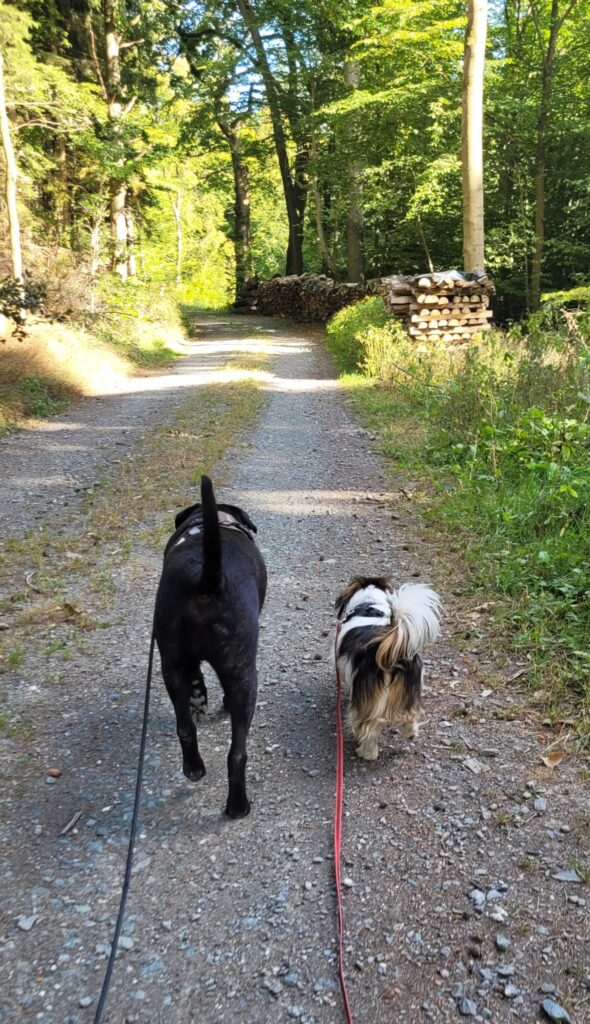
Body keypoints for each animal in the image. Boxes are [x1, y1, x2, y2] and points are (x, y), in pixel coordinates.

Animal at [154, 475, 267, 818]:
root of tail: (204, 579)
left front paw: (198, 698)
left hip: (170, 664)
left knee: (185, 728)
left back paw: (194, 768)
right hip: (244, 676)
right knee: (237, 753)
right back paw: (238, 806)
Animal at [334, 576, 441, 761]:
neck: (370, 604)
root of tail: (389, 651)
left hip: (368, 700)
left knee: (369, 728)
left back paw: (367, 753)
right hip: (411, 689)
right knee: (410, 715)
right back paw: (410, 733)